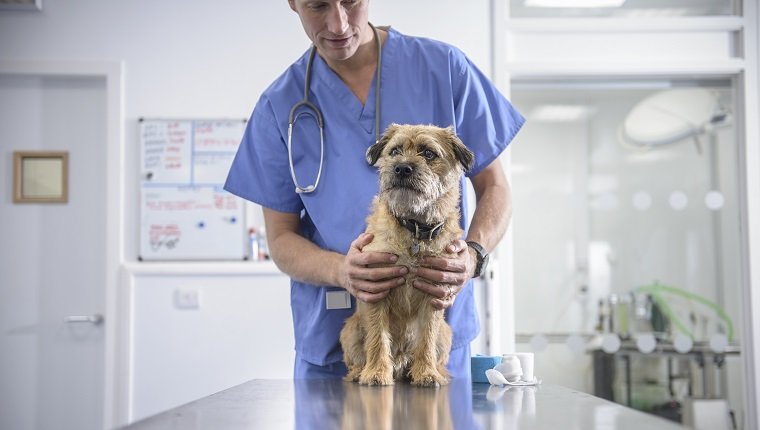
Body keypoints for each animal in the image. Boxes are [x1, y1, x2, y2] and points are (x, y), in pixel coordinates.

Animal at [340, 123, 472, 386]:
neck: (415, 229)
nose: (401, 168)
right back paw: (360, 372)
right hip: (350, 330)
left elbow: (427, 338)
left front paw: (427, 372)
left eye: (428, 153)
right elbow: (377, 337)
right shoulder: (376, 289)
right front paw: (376, 372)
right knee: (355, 359)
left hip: (446, 334)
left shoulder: (434, 292)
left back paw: (437, 371)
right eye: (394, 151)